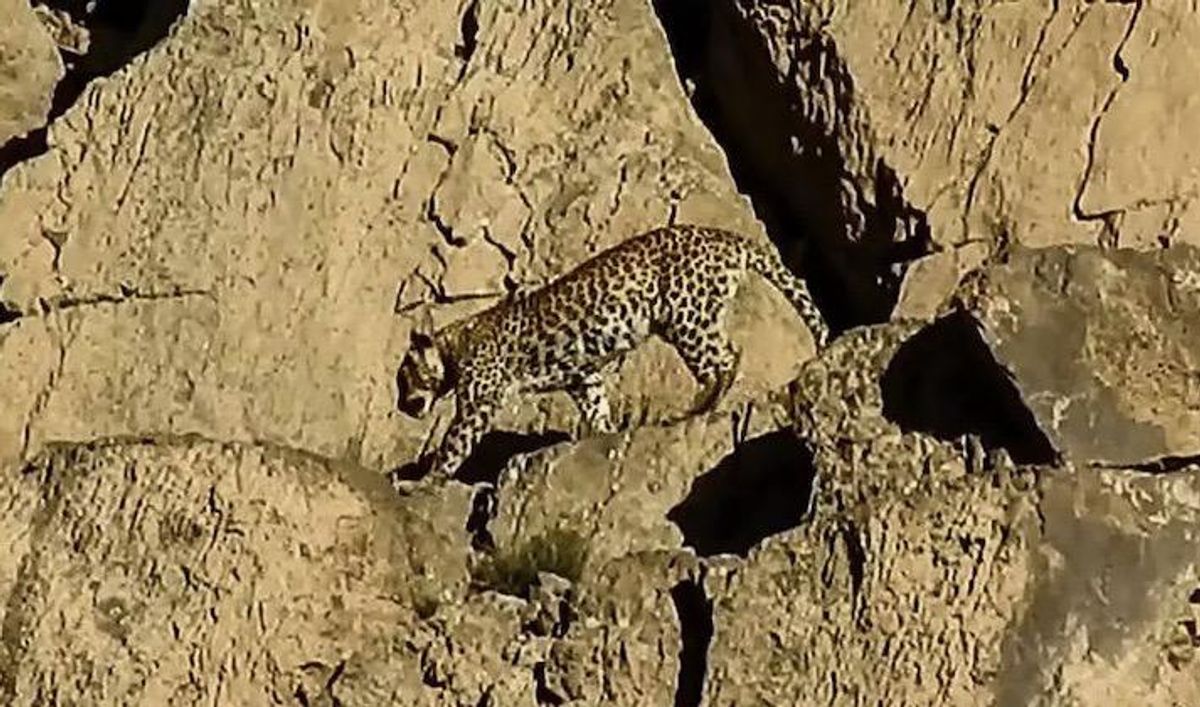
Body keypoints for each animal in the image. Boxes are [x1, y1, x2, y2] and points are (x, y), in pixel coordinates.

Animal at [393, 224, 829, 485]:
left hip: (685, 314)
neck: (453, 345)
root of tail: (726, 237)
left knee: (724, 358)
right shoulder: (584, 377)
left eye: (405, 377)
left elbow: (454, 443)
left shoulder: (479, 401)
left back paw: (698, 408)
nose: (402, 407)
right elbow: (597, 408)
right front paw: (603, 434)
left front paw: (424, 482)